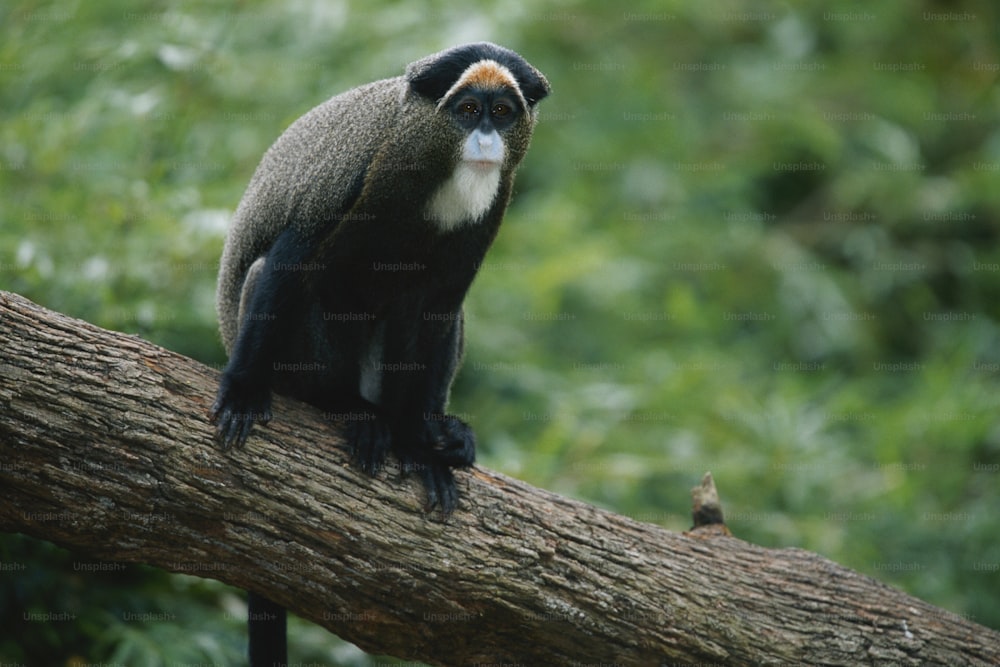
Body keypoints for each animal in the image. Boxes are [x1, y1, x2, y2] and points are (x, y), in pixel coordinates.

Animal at [211, 43, 552, 667]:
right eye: (467, 110)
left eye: (502, 111)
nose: (486, 140)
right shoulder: (356, 169)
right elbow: (292, 256)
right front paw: (242, 389)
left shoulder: (495, 204)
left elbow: (438, 305)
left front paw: (423, 444)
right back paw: (346, 408)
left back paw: (423, 434)